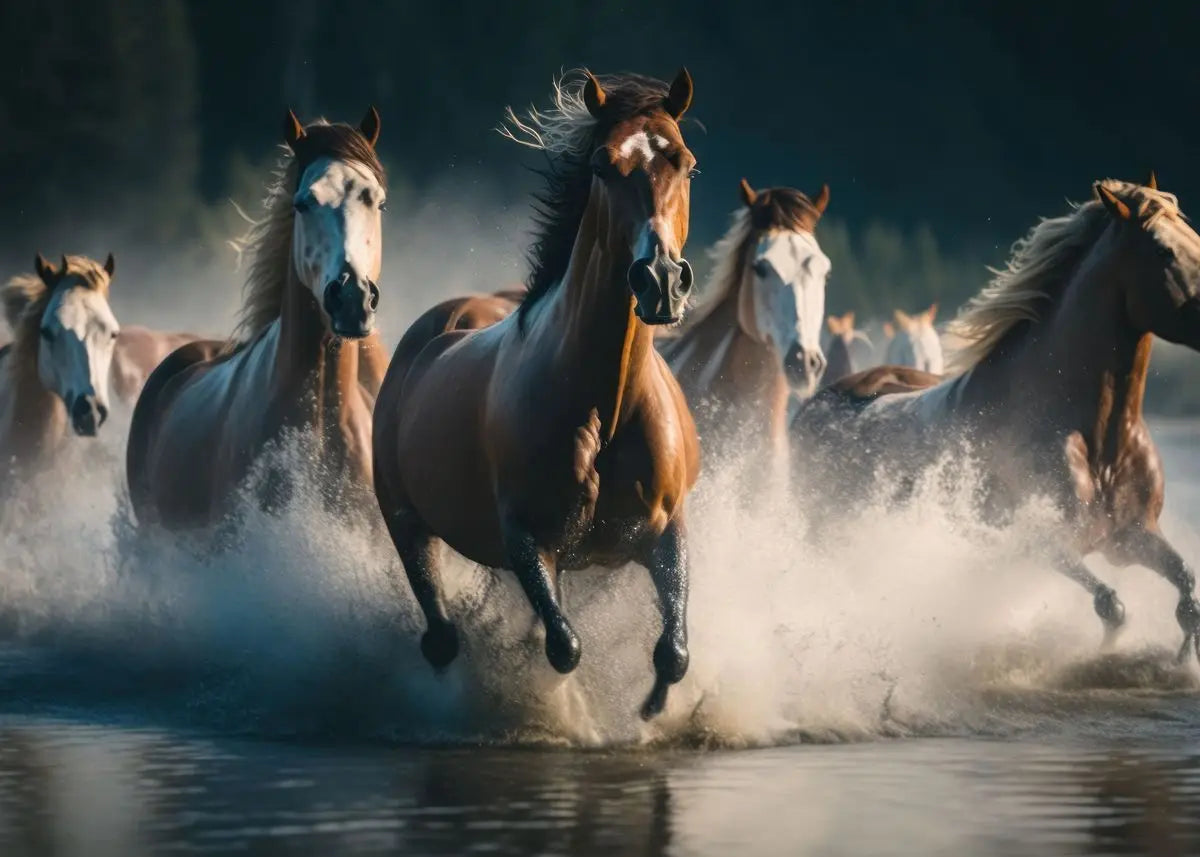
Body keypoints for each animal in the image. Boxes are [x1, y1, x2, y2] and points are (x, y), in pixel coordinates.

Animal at [373, 69, 701, 719]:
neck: (605, 408)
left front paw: (650, 713)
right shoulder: (527, 539)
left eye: (686, 164)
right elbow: (562, 647)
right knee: (441, 637)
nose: (660, 281)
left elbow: (673, 652)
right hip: (406, 523)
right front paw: (571, 713)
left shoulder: (664, 531)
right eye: (602, 164)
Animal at [791, 176, 1200, 663]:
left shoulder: (1132, 537)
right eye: (1163, 250)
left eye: (1194, 236)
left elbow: (1188, 596)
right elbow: (1111, 605)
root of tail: (810, 408)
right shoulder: (1040, 544)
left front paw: (1183, 661)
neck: (1097, 438)